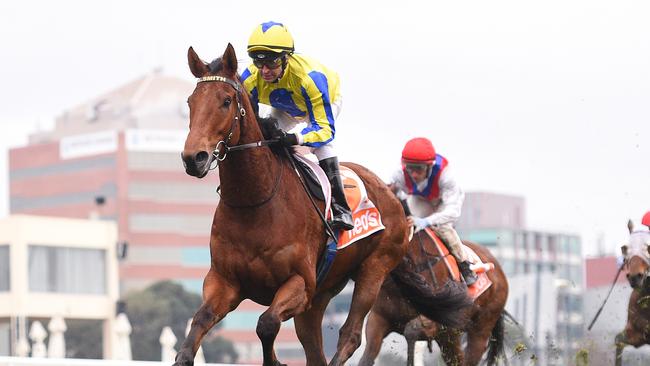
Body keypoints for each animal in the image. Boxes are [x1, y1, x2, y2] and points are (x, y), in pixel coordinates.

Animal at [172, 45, 470, 366]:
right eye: (190, 102)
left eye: (226, 101)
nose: (194, 158)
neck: (254, 205)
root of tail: (392, 196)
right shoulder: (223, 283)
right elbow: (198, 325)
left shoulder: (300, 284)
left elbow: (266, 324)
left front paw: (275, 360)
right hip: (322, 294)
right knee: (314, 346)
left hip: (373, 270)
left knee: (351, 336)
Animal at [360, 232, 506, 366]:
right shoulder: (378, 318)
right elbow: (366, 357)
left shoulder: (437, 322)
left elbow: (412, 332)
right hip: (449, 338)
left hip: (479, 330)